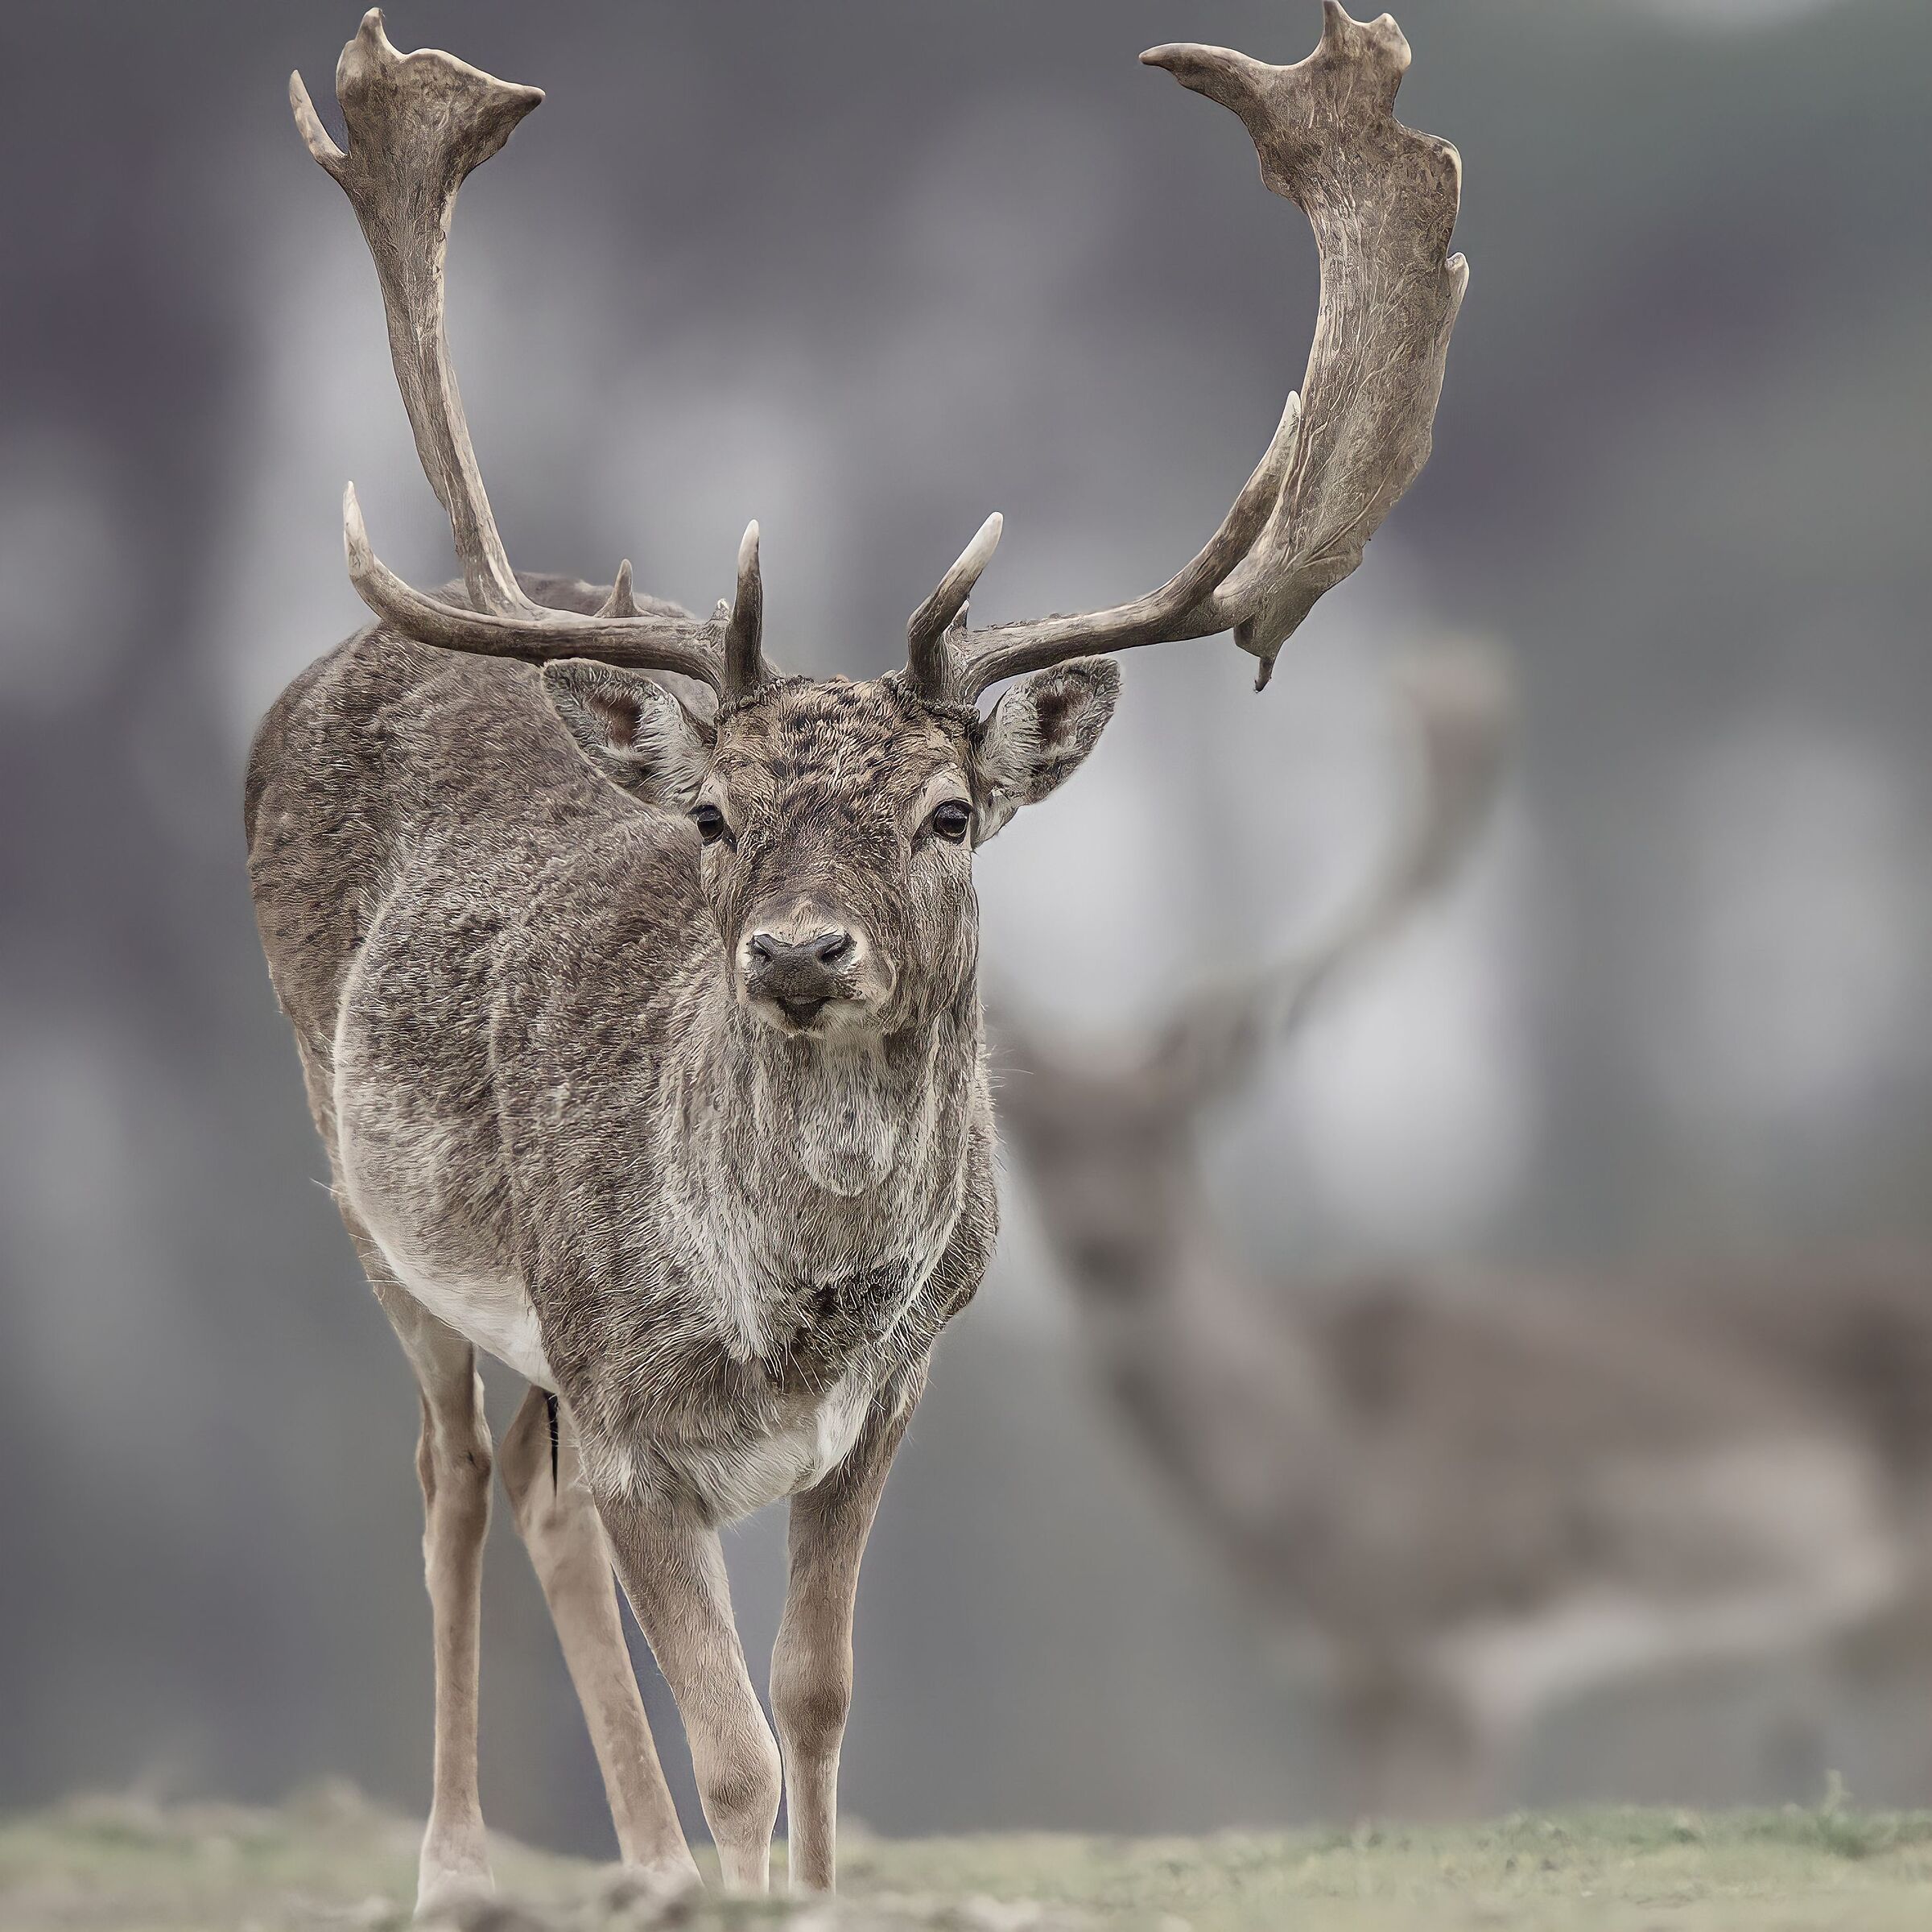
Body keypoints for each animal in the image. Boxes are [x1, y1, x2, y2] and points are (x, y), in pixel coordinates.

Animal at [245, 4, 1467, 1908]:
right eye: (715, 816)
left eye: (951, 813)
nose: (802, 950)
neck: (793, 1314)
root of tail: (305, 688)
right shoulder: (634, 1410)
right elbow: (738, 1741)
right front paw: (741, 1878)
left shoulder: (891, 1400)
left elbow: (814, 1698)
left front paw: (798, 1892)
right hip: (366, 1183)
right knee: (450, 1473)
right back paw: (455, 1871)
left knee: (527, 1494)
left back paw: (646, 1873)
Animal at [994, 654, 1907, 1815]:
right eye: (1033, 1141)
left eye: (1174, 1132)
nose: (1109, 1244)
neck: (1318, 1512)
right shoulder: (1355, 1672)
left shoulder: (1465, 1650)